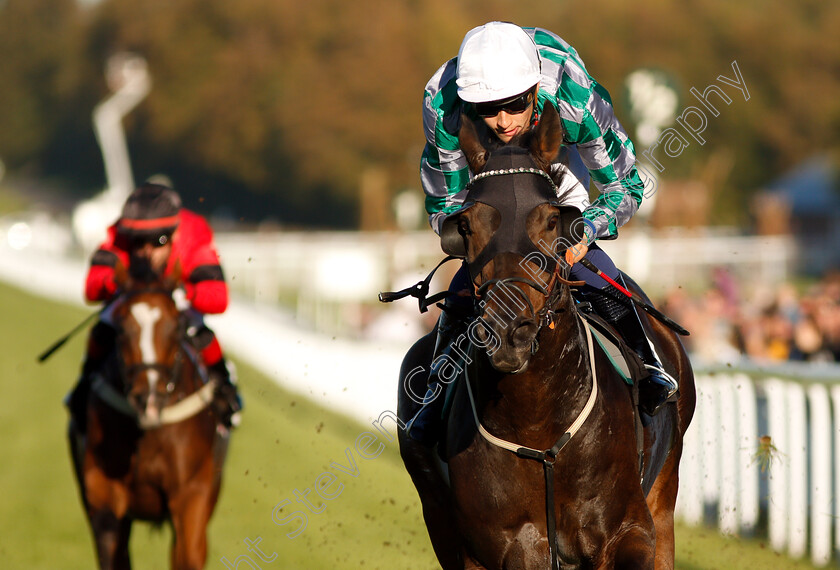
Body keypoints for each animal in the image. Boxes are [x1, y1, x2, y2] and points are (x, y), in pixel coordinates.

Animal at [68, 266, 228, 568]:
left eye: (175, 326)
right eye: (121, 329)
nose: (149, 399)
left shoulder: (192, 495)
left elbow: (190, 554)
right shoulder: (104, 494)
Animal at [398, 105, 696, 564]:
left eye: (552, 219)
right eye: (466, 226)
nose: (507, 332)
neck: (537, 423)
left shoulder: (630, 532)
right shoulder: (495, 549)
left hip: (665, 494)